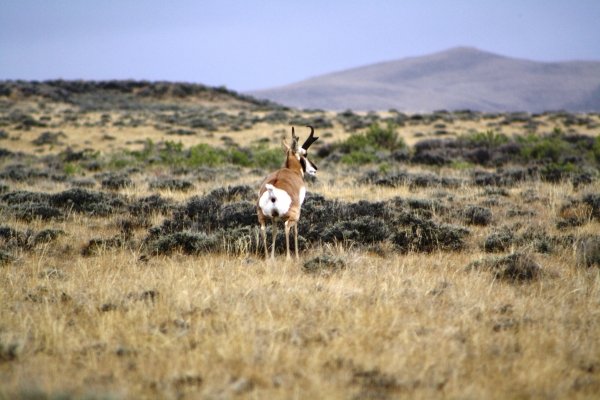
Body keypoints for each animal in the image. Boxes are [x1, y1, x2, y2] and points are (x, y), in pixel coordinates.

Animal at [256, 126, 318, 260]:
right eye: (305, 154)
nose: (315, 169)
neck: (292, 171)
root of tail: (272, 191)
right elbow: (295, 232)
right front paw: (297, 256)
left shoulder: (274, 218)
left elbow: (274, 232)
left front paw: (272, 257)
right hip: (293, 216)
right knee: (287, 228)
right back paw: (289, 257)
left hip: (263, 217)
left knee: (264, 230)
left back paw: (268, 258)